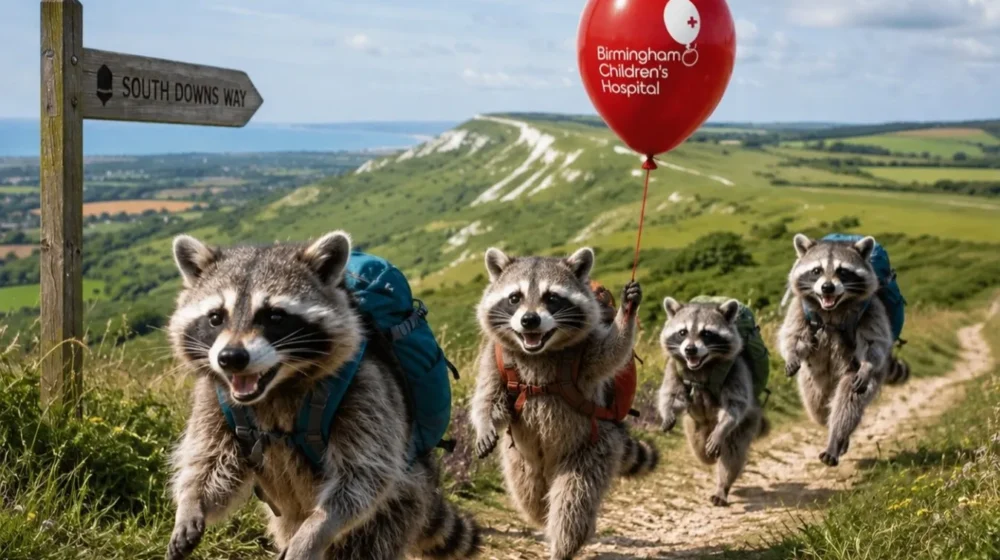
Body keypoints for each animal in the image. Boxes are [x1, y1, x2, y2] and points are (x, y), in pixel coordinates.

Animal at [165, 232, 480, 560]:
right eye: (215, 317)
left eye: (275, 316)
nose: (231, 358)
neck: (277, 388)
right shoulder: (214, 399)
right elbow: (210, 460)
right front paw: (191, 502)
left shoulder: (367, 389)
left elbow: (364, 475)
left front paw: (314, 531)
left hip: (403, 499)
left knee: (369, 541)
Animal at [470, 247, 657, 560]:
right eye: (514, 297)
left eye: (552, 298)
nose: (529, 320)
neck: (537, 352)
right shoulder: (492, 357)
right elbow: (487, 396)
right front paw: (483, 423)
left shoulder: (586, 351)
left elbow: (612, 352)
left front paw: (626, 314)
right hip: (520, 460)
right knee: (530, 498)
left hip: (594, 447)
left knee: (573, 500)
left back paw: (564, 543)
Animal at [656, 298, 767, 507]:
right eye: (682, 332)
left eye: (706, 333)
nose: (690, 349)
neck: (702, 366)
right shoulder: (673, 368)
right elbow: (672, 394)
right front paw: (667, 412)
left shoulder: (736, 368)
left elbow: (734, 404)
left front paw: (722, 428)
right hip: (693, 427)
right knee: (700, 451)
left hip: (747, 423)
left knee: (732, 454)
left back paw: (722, 486)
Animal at [778, 234, 907, 467]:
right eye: (816, 270)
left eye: (842, 271)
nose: (827, 287)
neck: (832, 309)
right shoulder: (800, 307)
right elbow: (792, 333)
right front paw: (792, 353)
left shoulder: (872, 308)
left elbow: (874, 342)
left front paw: (867, 364)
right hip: (813, 379)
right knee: (817, 405)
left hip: (862, 372)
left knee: (848, 398)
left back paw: (837, 439)